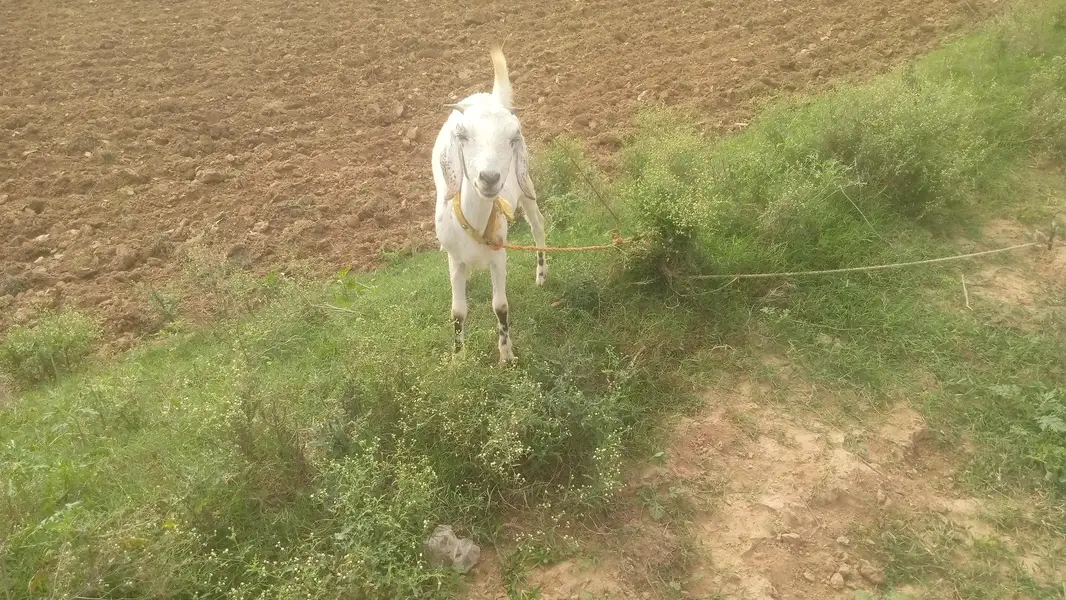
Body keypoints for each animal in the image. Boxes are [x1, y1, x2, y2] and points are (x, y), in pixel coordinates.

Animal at [431, 45, 548, 364]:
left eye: (513, 138)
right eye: (462, 136)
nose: (489, 178)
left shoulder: (500, 255)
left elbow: (501, 307)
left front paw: (506, 355)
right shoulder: (455, 259)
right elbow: (457, 311)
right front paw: (458, 356)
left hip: (526, 185)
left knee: (538, 226)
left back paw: (542, 273)